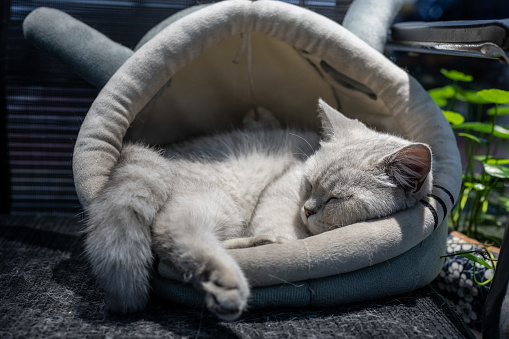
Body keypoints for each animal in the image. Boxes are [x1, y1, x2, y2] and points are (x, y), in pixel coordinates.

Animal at [84, 100, 432, 322]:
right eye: (309, 183)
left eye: (336, 199)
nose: (307, 210)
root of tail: (154, 154)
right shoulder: (282, 190)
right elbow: (282, 231)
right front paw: (283, 238)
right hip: (220, 202)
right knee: (175, 229)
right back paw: (228, 279)